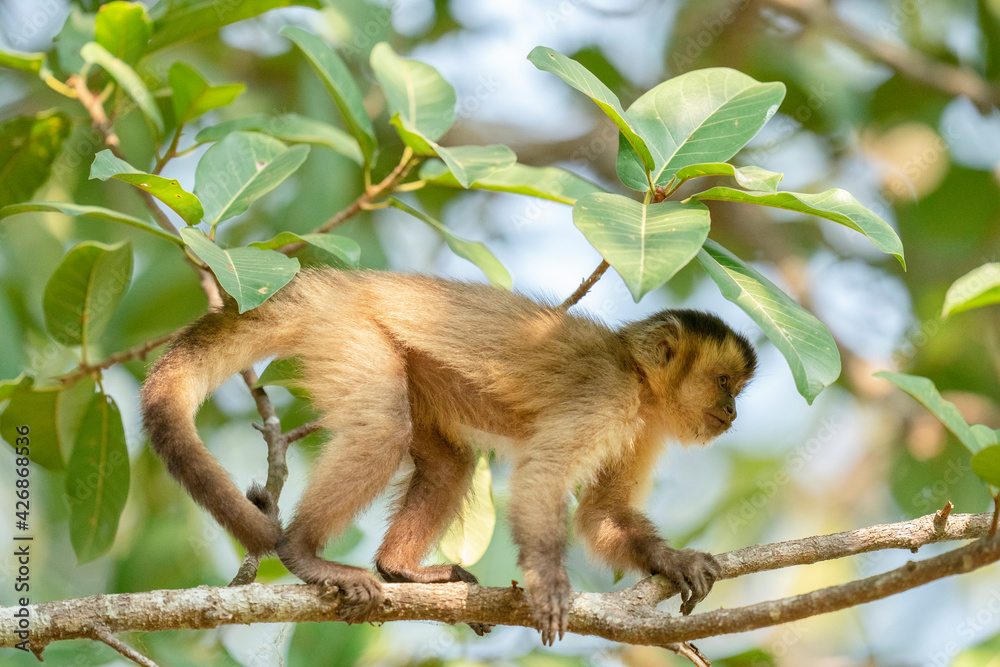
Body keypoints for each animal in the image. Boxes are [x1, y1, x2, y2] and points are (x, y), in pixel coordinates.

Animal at [140, 269, 756, 644]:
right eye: (723, 381)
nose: (731, 411)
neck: (639, 381)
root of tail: (336, 285)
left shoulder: (644, 426)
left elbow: (601, 514)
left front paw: (671, 561)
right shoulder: (611, 395)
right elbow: (542, 475)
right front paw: (549, 583)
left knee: (448, 463)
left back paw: (400, 569)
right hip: (352, 333)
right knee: (383, 431)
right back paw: (303, 553)